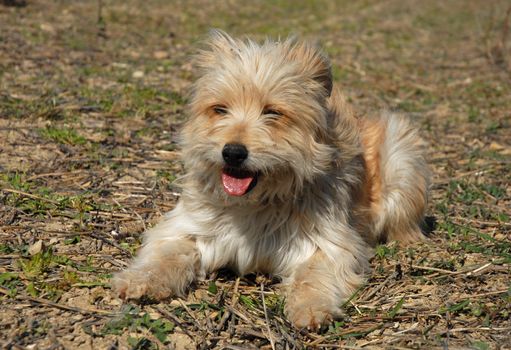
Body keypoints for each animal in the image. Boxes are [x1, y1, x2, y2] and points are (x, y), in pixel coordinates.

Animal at [113, 30, 432, 328]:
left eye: (273, 113)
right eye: (220, 109)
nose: (233, 153)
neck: (256, 202)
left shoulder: (330, 243)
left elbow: (314, 273)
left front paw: (309, 307)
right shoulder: (187, 227)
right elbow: (166, 253)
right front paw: (142, 279)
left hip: (399, 155)